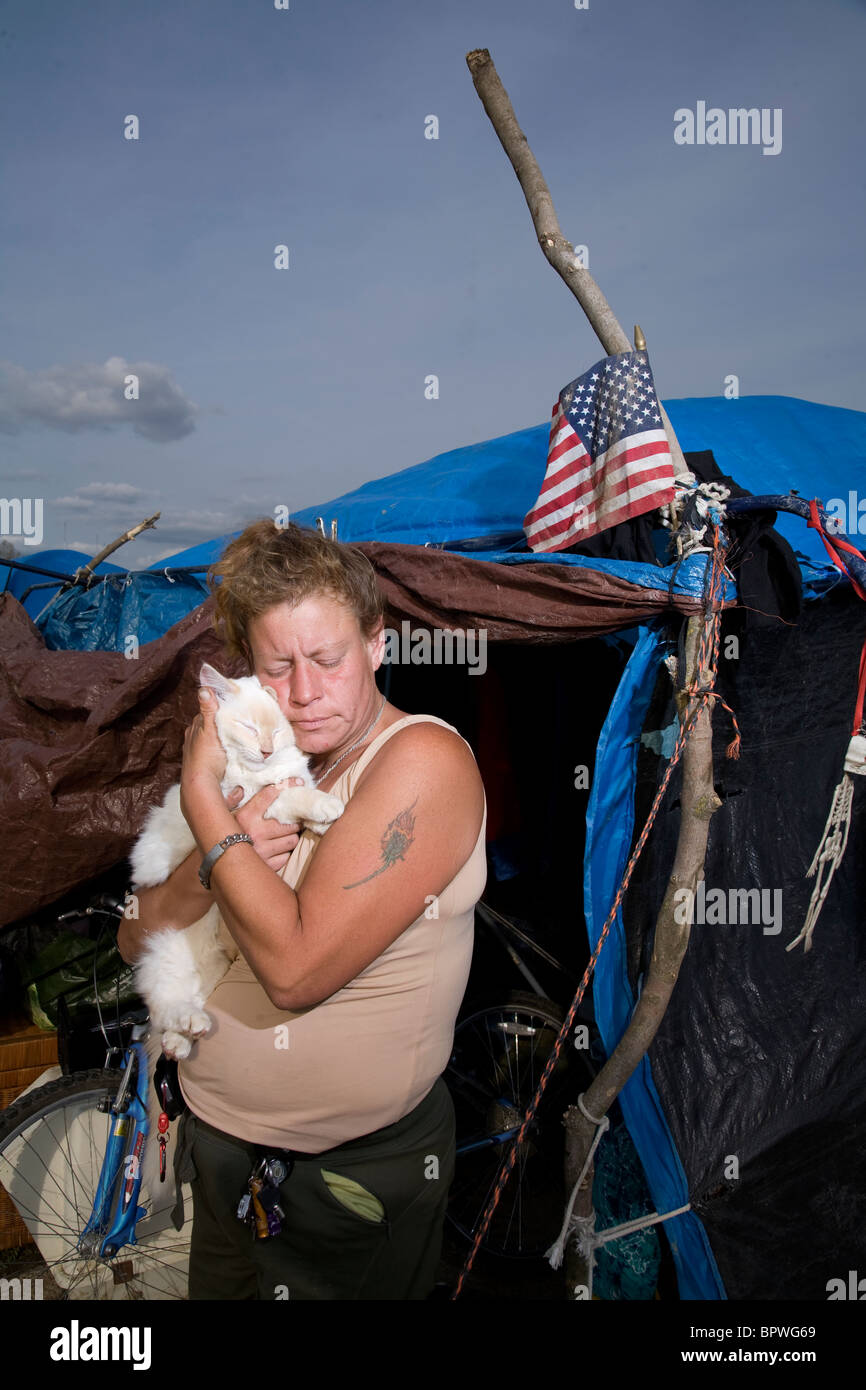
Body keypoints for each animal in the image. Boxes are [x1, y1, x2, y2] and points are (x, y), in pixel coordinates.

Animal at [130, 667, 343, 1056]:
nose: (266, 750)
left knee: (176, 1013)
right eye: (248, 727)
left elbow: (299, 789)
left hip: (211, 968)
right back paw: (188, 1026)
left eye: (276, 732)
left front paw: (321, 822)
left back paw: (182, 1039)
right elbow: (292, 796)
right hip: (171, 956)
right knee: (164, 1005)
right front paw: (327, 807)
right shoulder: (250, 804)